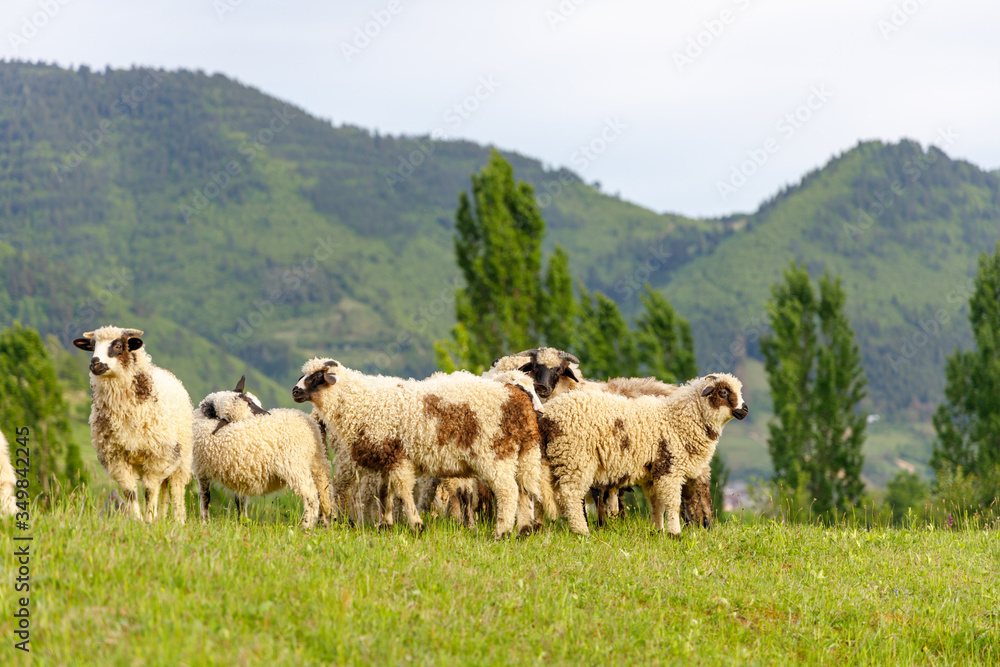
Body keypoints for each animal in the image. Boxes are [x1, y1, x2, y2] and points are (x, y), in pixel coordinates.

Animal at [73, 326, 192, 524]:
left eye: (118, 346)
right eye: (92, 345)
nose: (95, 363)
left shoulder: (156, 457)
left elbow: (150, 492)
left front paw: (149, 520)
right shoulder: (117, 458)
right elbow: (130, 493)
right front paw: (137, 521)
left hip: (181, 458)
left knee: (177, 490)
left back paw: (178, 521)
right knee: (165, 490)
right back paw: (162, 518)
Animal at [193, 376, 333, 529]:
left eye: (251, 401)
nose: (267, 414)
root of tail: (310, 426)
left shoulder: (203, 471)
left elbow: (205, 498)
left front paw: (205, 521)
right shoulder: (235, 473)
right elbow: (237, 501)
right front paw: (242, 523)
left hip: (294, 465)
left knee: (311, 495)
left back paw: (306, 526)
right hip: (317, 462)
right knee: (324, 492)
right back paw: (325, 523)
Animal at [293, 359, 544, 539]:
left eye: (317, 377)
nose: (295, 391)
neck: (361, 402)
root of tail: (516, 398)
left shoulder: (398, 457)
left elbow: (403, 491)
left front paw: (416, 525)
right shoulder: (386, 458)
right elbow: (385, 493)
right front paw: (386, 525)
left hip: (495, 454)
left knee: (508, 491)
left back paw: (501, 533)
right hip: (524, 454)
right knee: (525, 491)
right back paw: (523, 530)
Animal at [541, 373, 748, 536]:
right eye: (723, 392)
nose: (745, 410)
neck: (679, 420)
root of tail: (549, 413)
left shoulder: (653, 475)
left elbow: (657, 504)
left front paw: (658, 531)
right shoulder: (669, 469)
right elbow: (672, 503)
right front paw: (675, 533)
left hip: (555, 460)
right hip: (575, 458)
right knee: (571, 495)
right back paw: (581, 531)